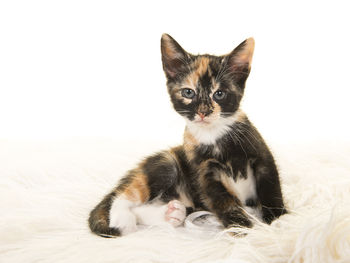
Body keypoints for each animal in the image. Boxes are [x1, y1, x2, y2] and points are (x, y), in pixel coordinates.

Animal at [88, 34, 288, 238]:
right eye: (188, 92)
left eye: (219, 94)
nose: (203, 112)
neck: (214, 135)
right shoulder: (204, 174)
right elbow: (224, 202)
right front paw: (242, 228)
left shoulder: (262, 157)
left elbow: (271, 188)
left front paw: (280, 221)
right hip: (166, 164)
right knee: (125, 195)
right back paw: (123, 219)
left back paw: (171, 214)